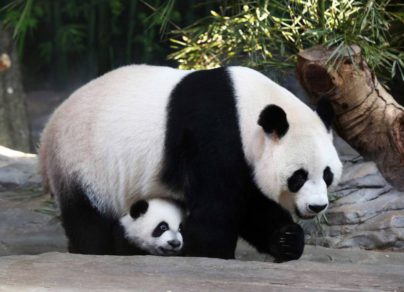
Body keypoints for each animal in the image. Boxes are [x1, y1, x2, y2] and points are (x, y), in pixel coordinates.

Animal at [39, 65, 342, 262]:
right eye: (299, 176)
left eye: (327, 175)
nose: (317, 206)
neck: (246, 109)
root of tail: (49, 128)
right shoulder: (212, 136)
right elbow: (216, 206)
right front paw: (211, 254)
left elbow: (253, 205)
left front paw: (287, 240)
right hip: (83, 162)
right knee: (87, 218)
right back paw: (95, 251)